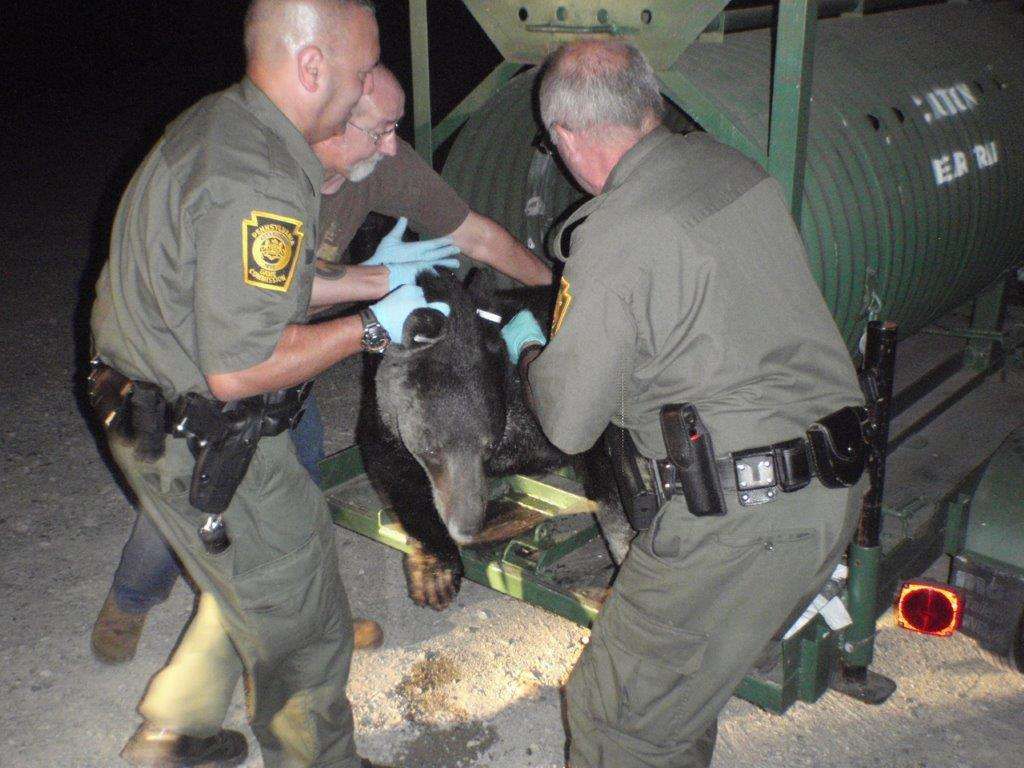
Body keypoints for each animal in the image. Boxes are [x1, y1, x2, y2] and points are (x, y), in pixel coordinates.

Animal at [358, 272, 630, 614]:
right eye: (431, 451)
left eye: (487, 447)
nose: (465, 527)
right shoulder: (383, 412)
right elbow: (387, 463)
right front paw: (435, 571)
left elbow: (603, 464)